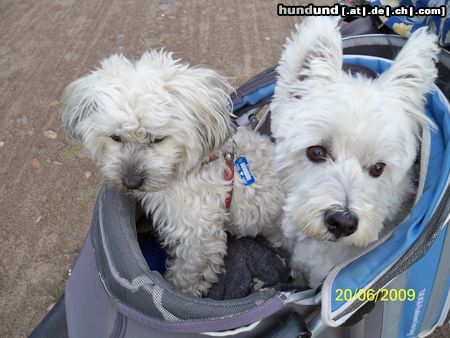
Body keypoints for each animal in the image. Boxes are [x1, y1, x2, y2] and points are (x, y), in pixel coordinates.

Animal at [61, 50, 284, 296]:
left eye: (158, 139)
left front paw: (181, 288)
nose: (130, 181)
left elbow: (189, 270)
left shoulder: (198, 237)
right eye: (115, 137)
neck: (191, 167)